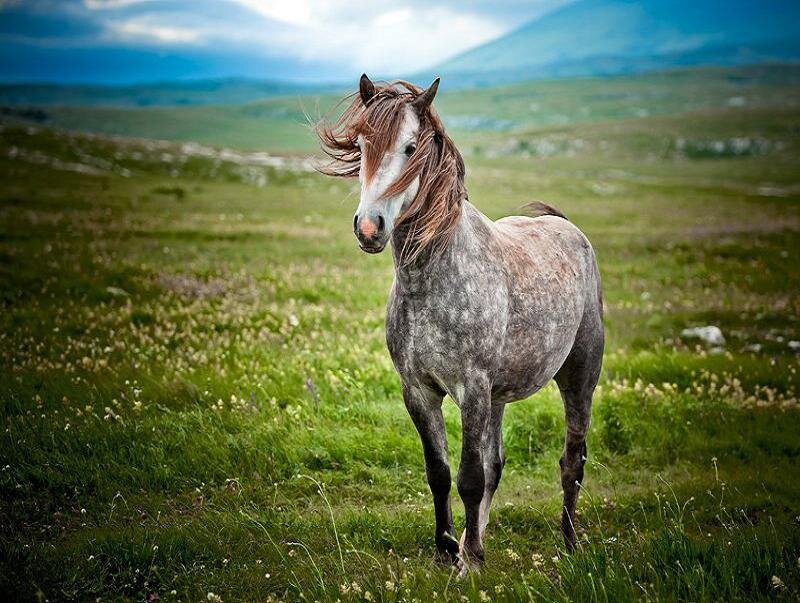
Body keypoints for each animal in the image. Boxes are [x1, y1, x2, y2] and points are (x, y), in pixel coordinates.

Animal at [316, 74, 604, 575]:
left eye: (411, 147)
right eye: (362, 144)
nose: (369, 228)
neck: (432, 280)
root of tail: (568, 228)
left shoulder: (471, 389)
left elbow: (469, 477)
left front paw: (469, 559)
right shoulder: (419, 391)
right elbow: (441, 473)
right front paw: (448, 548)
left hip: (578, 378)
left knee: (572, 461)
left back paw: (567, 543)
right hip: (499, 397)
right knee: (497, 464)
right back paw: (479, 537)